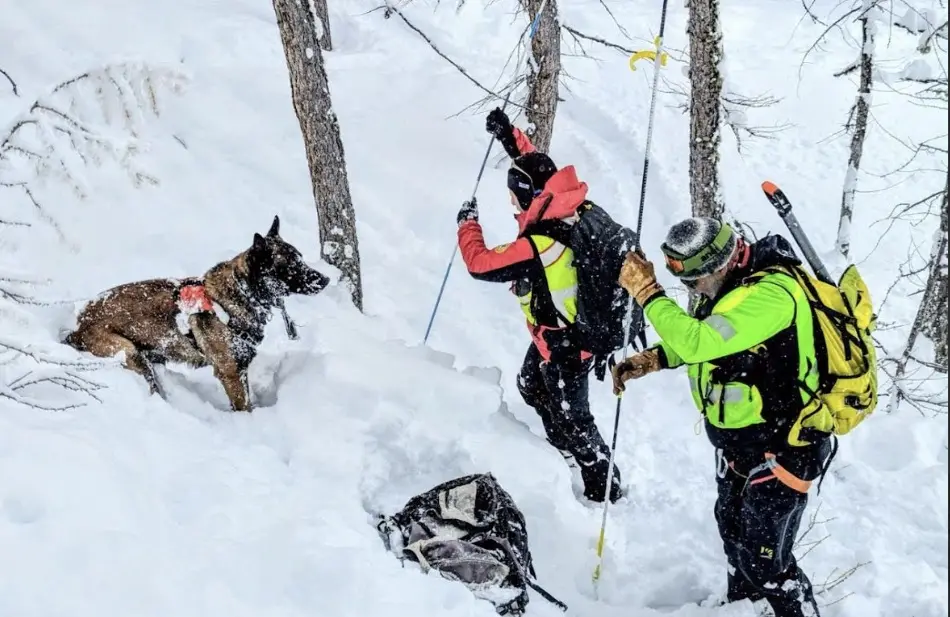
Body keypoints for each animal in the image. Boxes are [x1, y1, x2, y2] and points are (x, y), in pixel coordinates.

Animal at [63, 214, 330, 412]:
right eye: (291, 265)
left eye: (301, 258)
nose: (326, 279)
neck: (241, 292)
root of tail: (77, 328)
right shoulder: (230, 372)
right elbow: (244, 406)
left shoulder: (241, 369)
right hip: (128, 352)